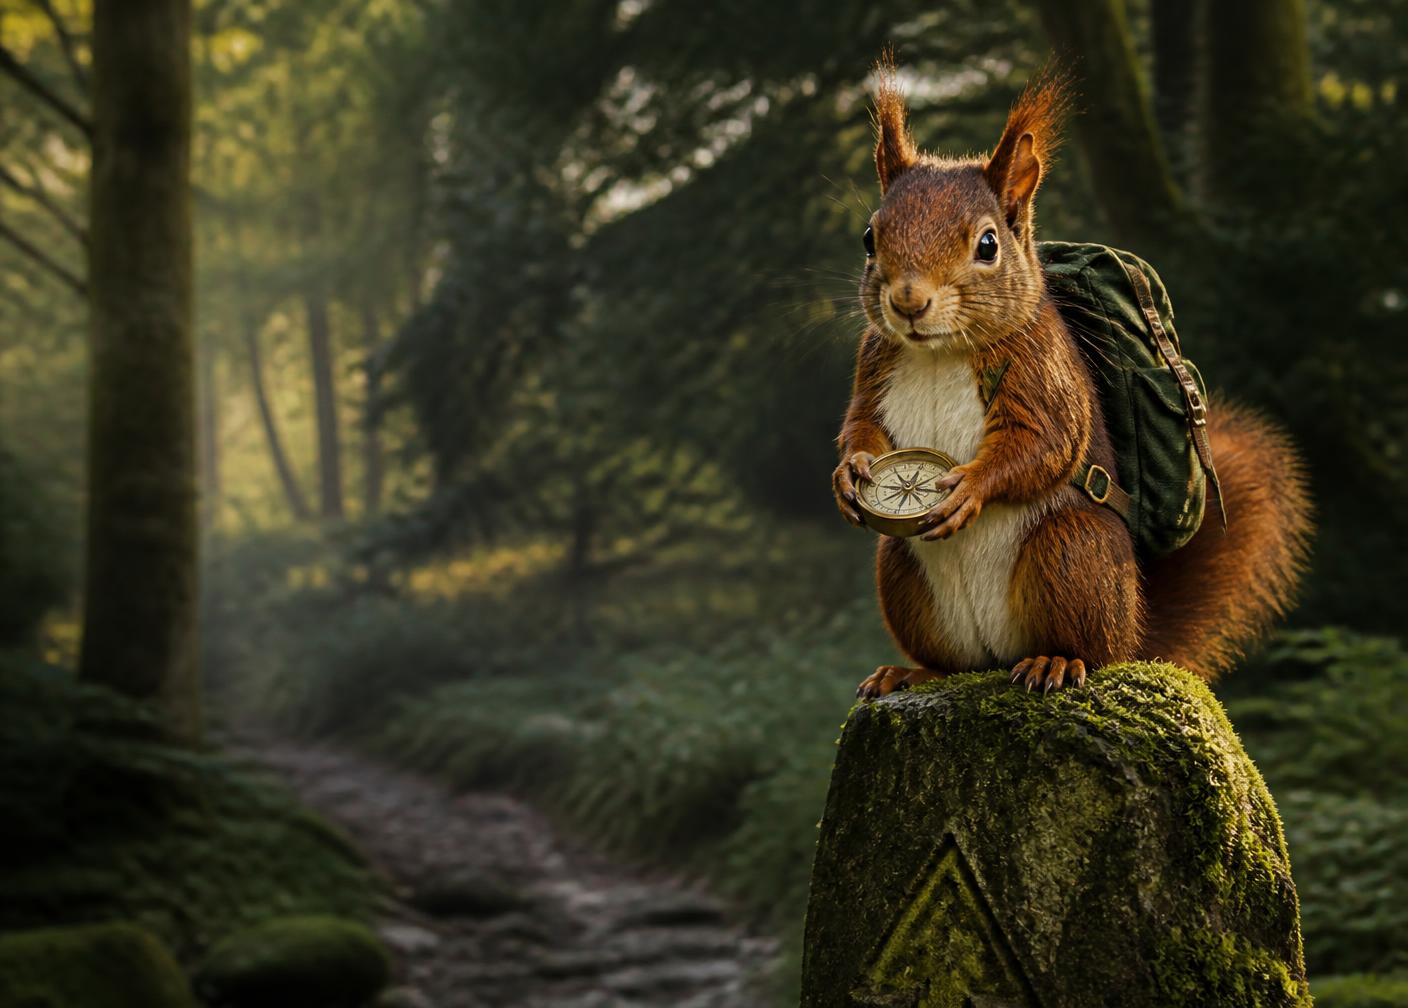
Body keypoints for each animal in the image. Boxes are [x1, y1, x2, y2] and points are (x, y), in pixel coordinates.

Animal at [832, 67, 1312, 697]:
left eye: (988, 244)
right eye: (869, 237)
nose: (909, 301)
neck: (940, 351)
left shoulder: (1043, 367)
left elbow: (1045, 440)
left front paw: (969, 488)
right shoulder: (875, 363)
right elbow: (861, 422)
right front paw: (850, 473)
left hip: (1072, 554)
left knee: (1090, 646)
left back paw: (1056, 661)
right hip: (899, 569)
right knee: (949, 659)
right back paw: (911, 671)